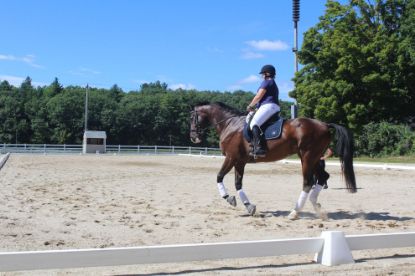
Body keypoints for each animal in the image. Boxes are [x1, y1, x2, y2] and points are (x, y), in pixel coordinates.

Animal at [190, 101, 356, 220]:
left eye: (192, 118)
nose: (193, 137)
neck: (230, 124)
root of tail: (325, 125)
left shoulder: (231, 158)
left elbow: (219, 176)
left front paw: (228, 198)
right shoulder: (239, 161)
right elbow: (238, 184)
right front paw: (249, 206)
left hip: (308, 157)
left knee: (308, 182)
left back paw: (294, 212)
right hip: (313, 158)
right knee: (322, 177)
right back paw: (316, 207)